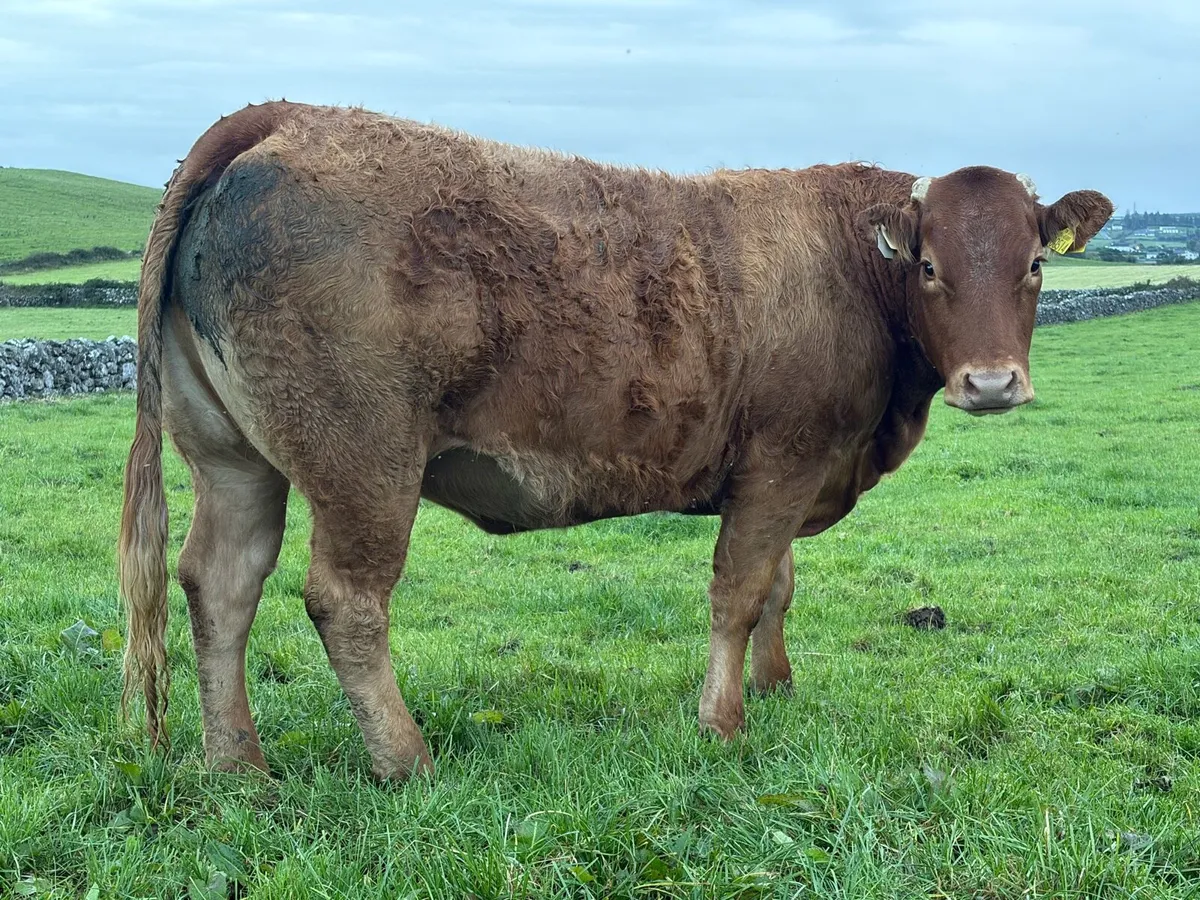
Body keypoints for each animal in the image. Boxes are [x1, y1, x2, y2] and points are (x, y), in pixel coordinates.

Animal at [118, 101, 1113, 780]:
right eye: (931, 267)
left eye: (1035, 264)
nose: (992, 383)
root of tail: (286, 118)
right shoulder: (785, 458)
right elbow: (739, 591)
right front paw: (722, 724)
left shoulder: (789, 470)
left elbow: (779, 585)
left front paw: (776, 687)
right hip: (364, 464)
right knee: (345, 602)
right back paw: (406, 761)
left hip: (233, 458)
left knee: (221, 584)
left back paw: (238, 765)